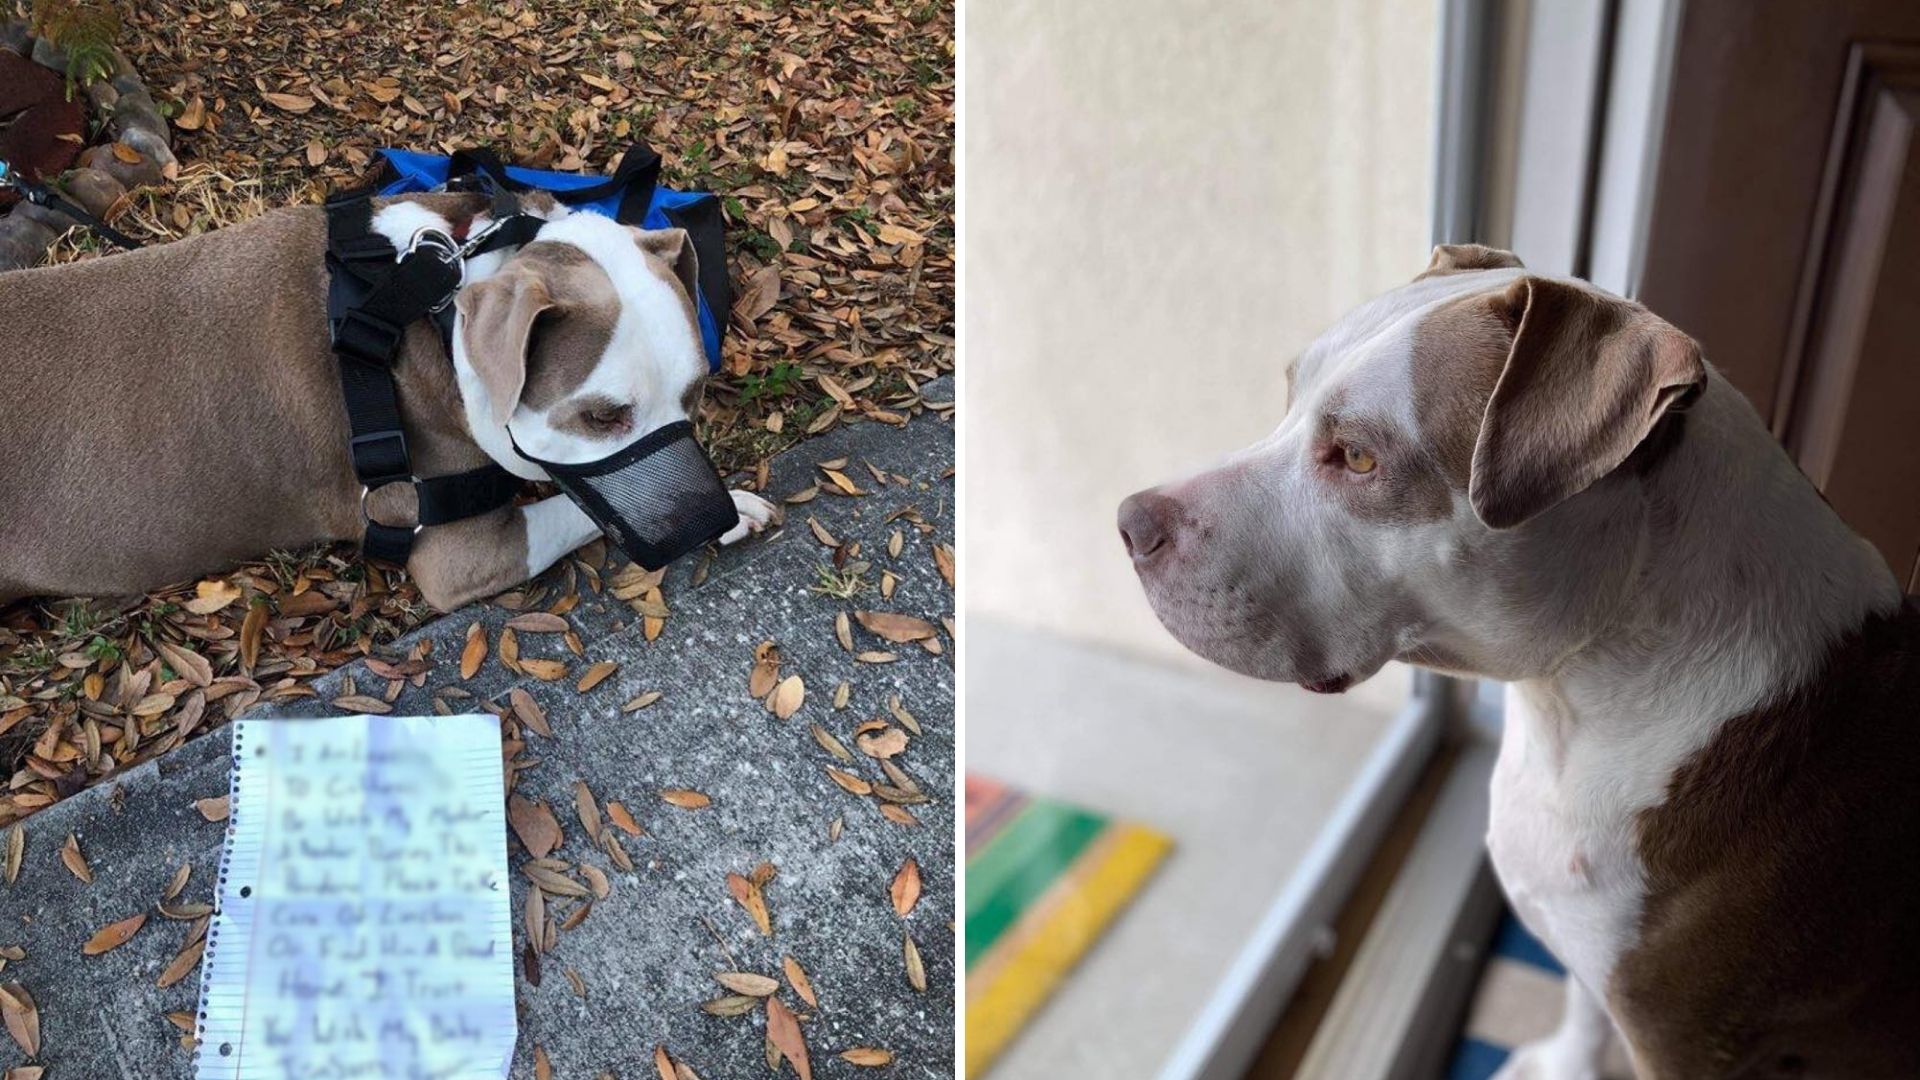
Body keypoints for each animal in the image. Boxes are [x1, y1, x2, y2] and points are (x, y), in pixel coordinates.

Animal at [1, 191, 779, 607]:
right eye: (601, 416)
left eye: (695, 394)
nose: (707, 515)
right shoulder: (461, 553)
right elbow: (575, 510)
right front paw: (736, 511)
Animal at [1121, 244, 1912, 1076]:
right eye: (1289, 396)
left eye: (1359, 457)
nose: (1130, 522)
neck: (1574, 695)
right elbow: (1583, 1009)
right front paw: (1564, 1061)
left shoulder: (1684, 1041)